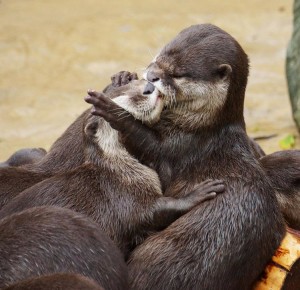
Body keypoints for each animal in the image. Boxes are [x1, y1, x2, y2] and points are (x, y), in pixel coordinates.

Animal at [0, 78, 225, 256]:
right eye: (123, 101)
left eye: (138, 82)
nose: (150, 87)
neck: (119, 170)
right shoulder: (125, 195)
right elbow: (155, 211)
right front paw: (199, 192)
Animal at [85, 24, 286, 290]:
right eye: (160, 54)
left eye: (179, 74)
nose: (151, 76)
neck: (199, 126)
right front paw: (121, 77)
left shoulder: (181, 148)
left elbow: (147, 143)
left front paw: (113, 111)